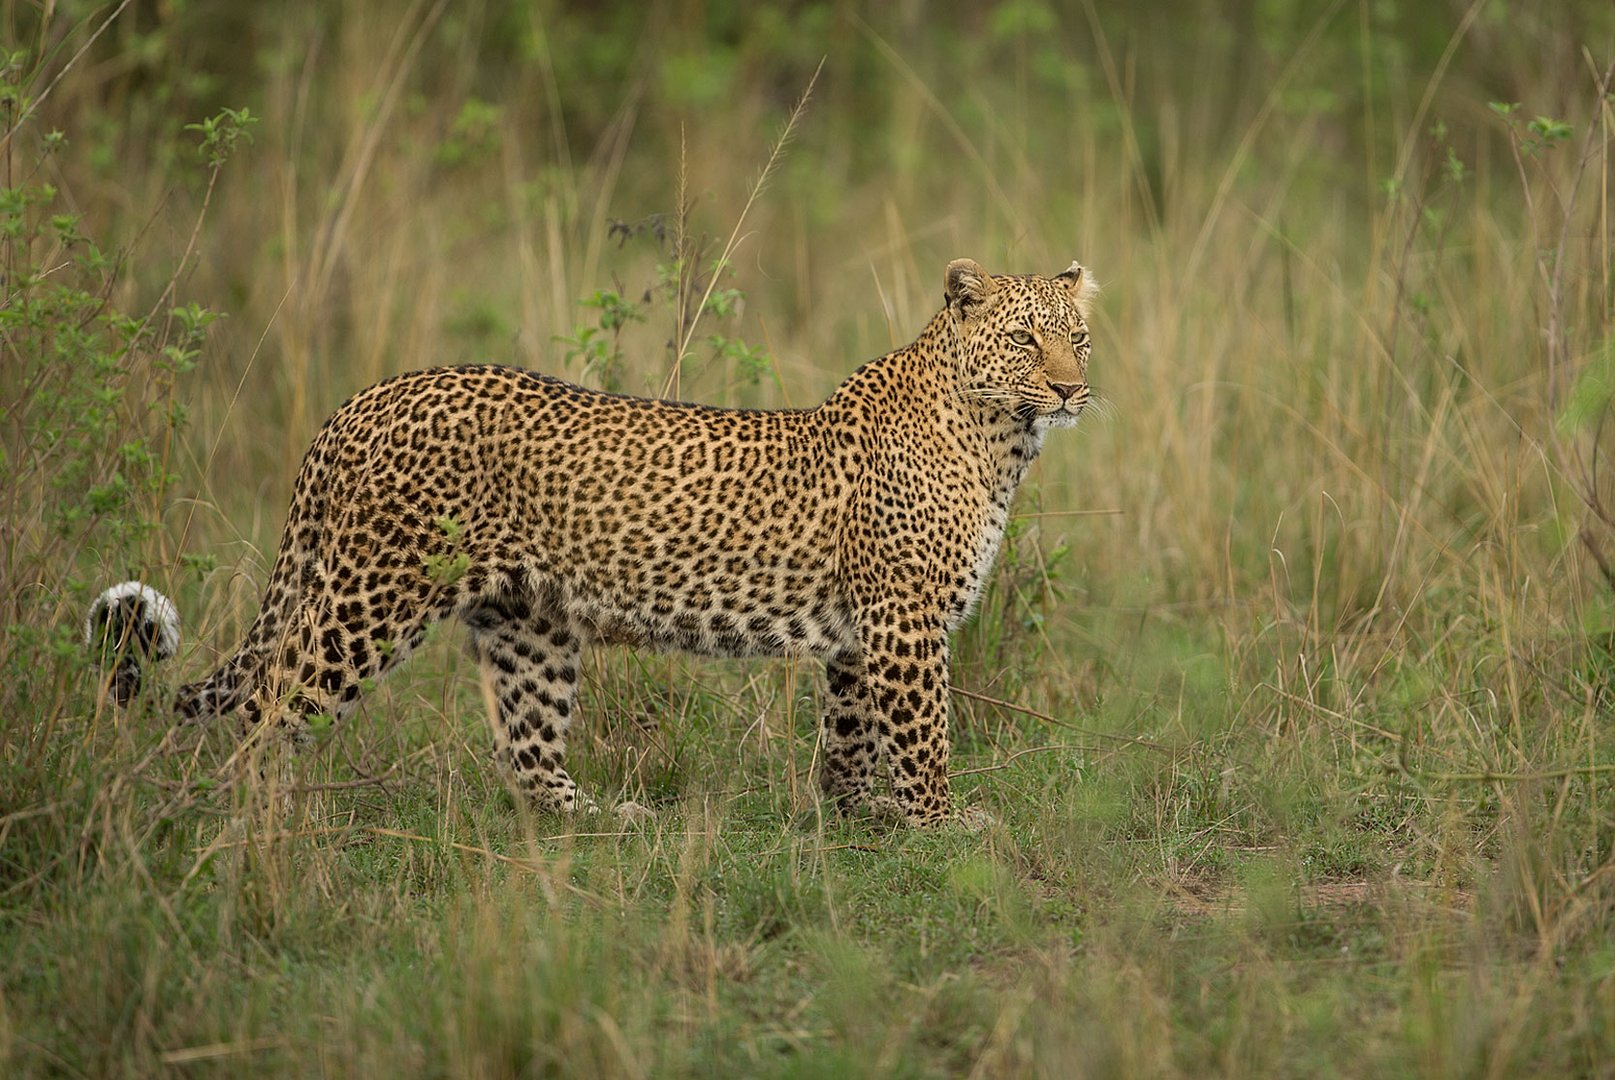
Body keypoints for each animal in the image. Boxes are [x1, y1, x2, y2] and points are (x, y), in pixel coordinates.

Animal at [94, 258, 1091, 826]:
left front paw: (856, 817)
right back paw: (262, 819)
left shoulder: (861, 633)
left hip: (525, 623)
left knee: (527, 750)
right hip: (367, 597)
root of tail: (360, 402)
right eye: (1023, 340)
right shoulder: (903, 622)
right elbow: (922, 732)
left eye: (1076, 337)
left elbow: (848, 733)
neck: (1000, 439)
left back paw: (604, 819)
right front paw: (940, 824)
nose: (1072, 389)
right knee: (268, 707)